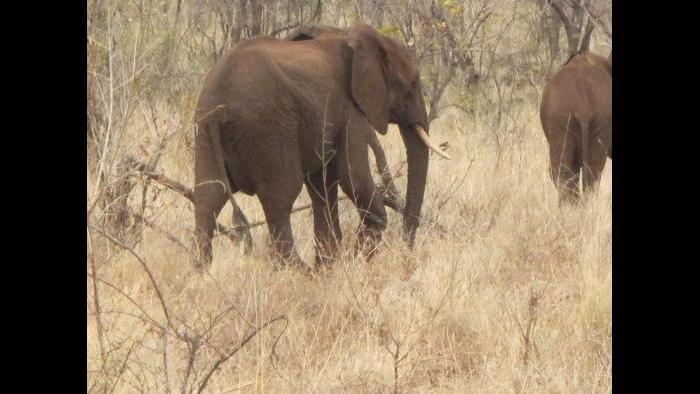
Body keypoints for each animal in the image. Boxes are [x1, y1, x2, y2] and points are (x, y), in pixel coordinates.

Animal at [194, 23, 452, 270]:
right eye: (413, 82)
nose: (407, 256)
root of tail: (219, 106)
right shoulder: (350, 109)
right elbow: (352, 176)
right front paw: (355, 260)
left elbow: (323, 185)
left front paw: (330, 266)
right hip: (269, 129)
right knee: (280, 197)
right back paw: (297, 270)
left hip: (205, 130)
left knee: (208, 196)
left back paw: (202, 270)